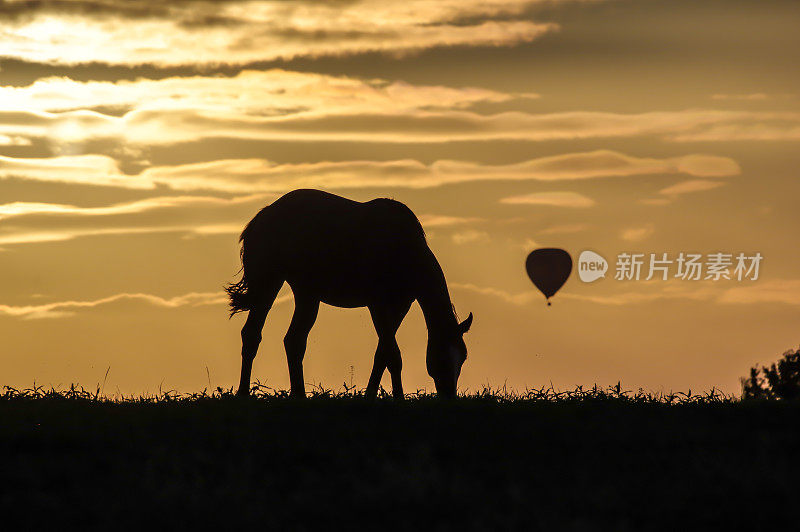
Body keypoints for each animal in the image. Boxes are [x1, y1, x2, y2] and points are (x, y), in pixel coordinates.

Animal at [225, 189, 472, 396]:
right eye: (441, 357)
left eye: (462, 359)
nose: (449, 396)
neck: (402, 247)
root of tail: (263, 215)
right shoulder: (377, 304)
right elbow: (392, 354)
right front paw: (399, 399)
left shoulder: (401, 305)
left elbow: (382, 353)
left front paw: (370, 396)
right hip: (268, 283)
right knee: (252, 335)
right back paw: (243, 393)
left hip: (307, 294)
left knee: (293, 340)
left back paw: (299, 395)